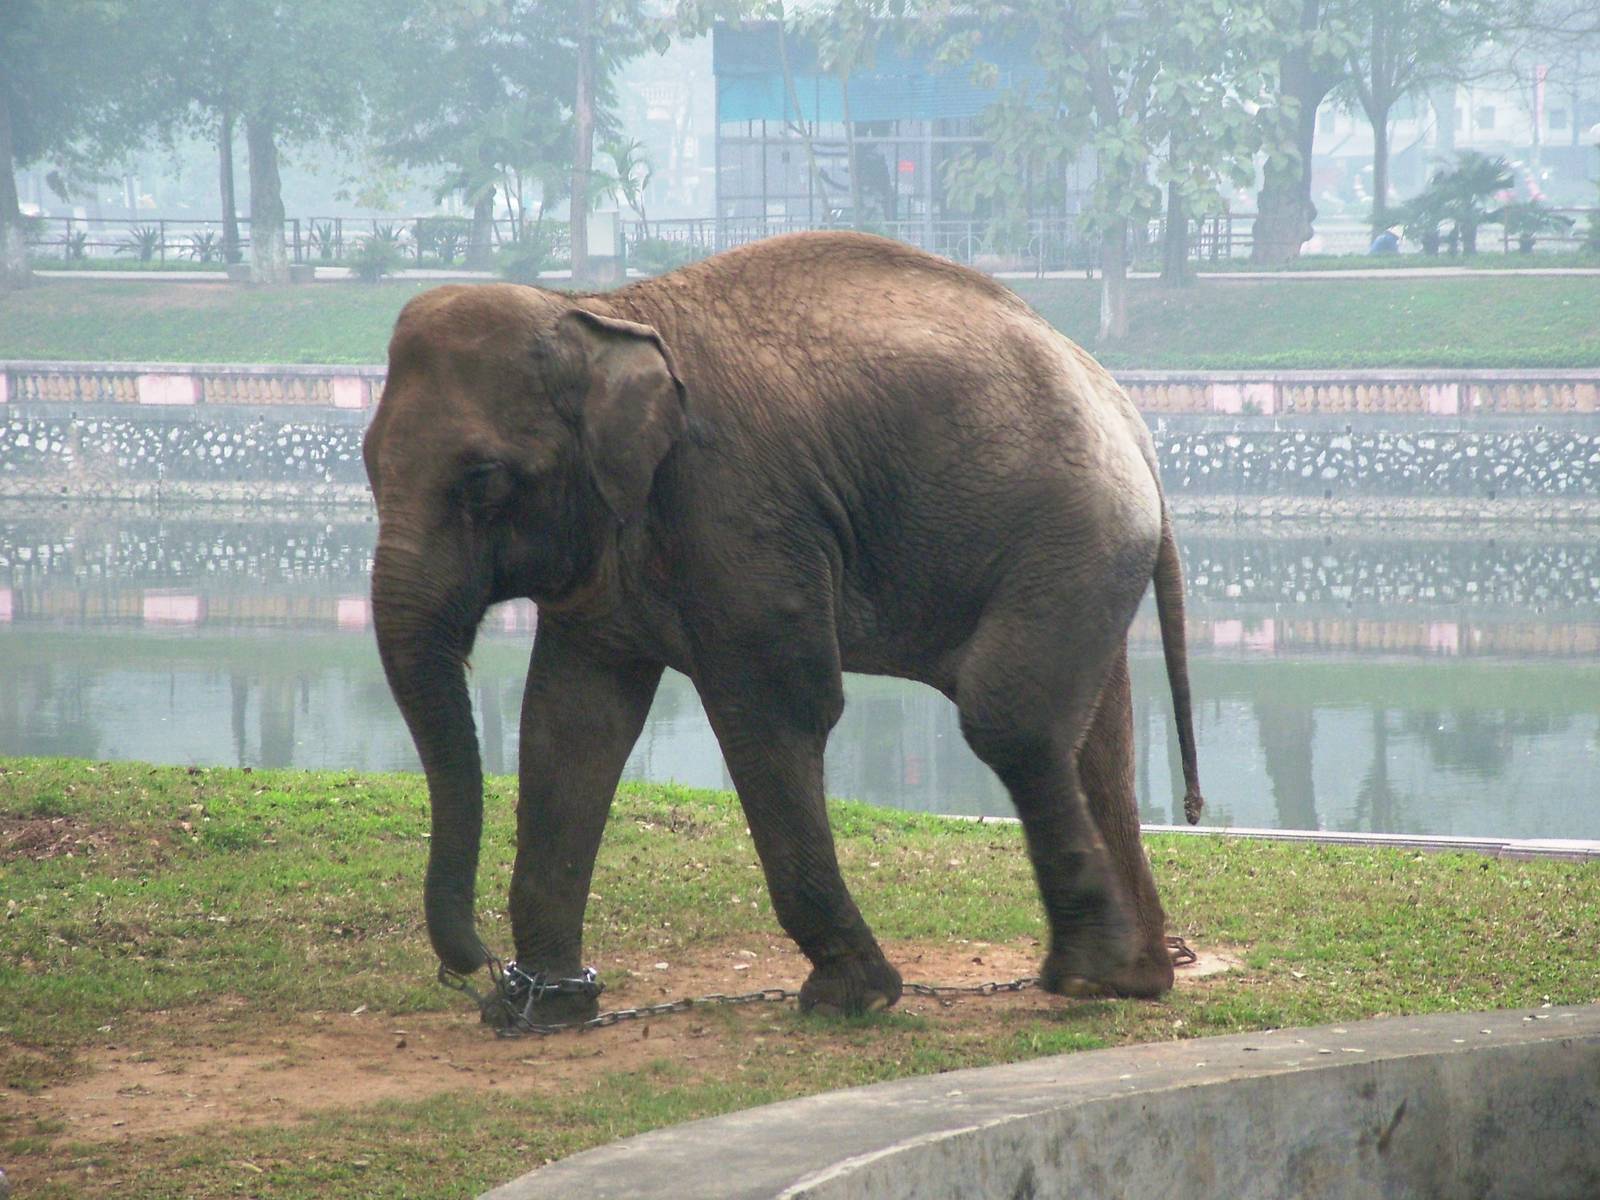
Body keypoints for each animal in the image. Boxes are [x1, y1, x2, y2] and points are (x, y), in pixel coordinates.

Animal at [362, 231, 1204, 1024]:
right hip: (1087, 553)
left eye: (482, 480)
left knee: (1010, 720)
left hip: (1072, 532)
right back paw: (1130, 978)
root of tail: (1134, 420)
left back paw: (1087, 973)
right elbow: (572, 724)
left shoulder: (736, 507)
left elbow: (776, 708)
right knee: (1096, 740)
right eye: (366, 466)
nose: (478, 970)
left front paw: (850, 996)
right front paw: (544, 1012)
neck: (598, 307)